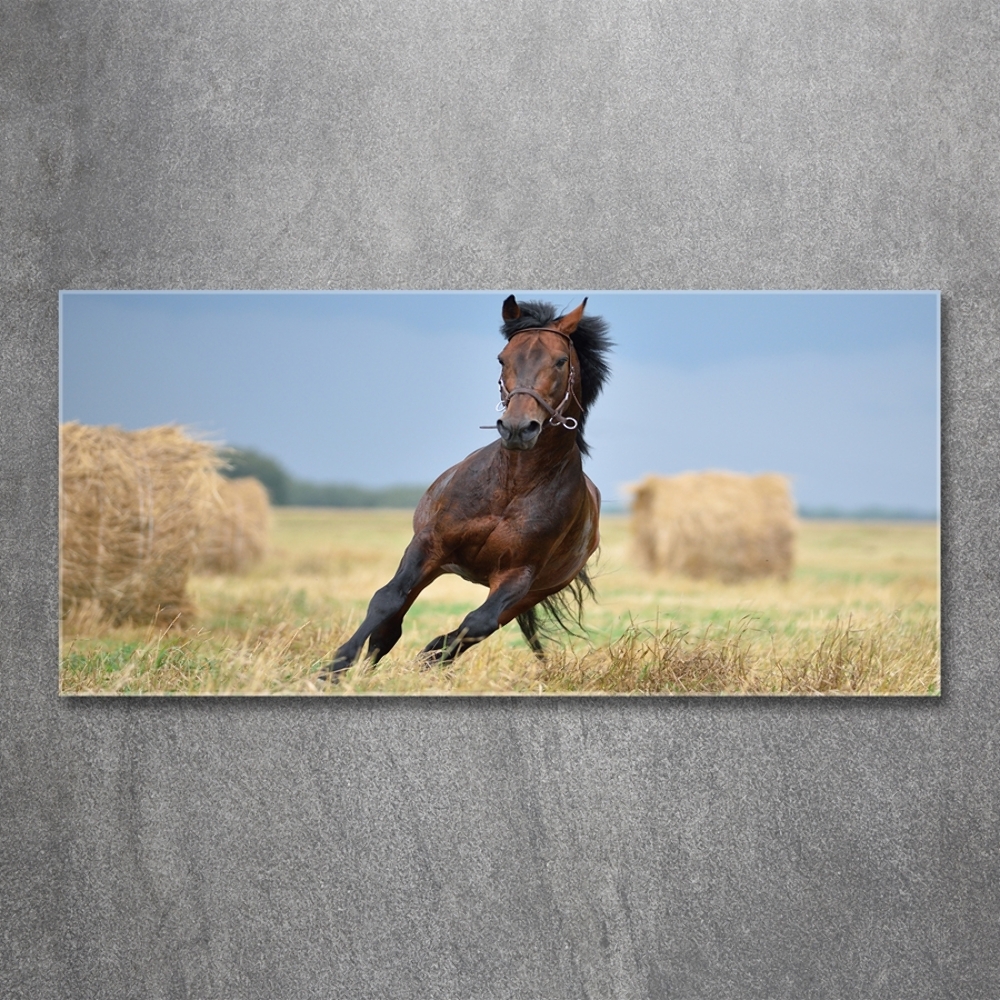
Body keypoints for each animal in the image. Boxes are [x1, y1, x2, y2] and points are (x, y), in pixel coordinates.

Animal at [324, 292, 612, 676]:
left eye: (560, 360)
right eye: (503, 358)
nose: (518, 428)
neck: (513, 486)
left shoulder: (519, 575)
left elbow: (476, 624)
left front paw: (426, 659)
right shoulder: (429, 545)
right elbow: (387, 600)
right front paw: (334, 668)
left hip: (532, 593)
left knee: (475, 628)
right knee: (392, 625)